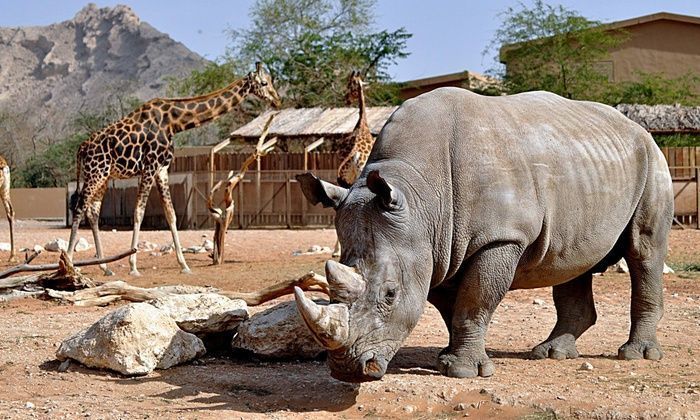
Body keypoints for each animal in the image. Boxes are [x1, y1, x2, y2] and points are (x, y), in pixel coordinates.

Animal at [68, 60, 280, 274]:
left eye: (271, 81)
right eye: (264, 83)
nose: (277, 101)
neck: (174, 122)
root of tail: (81, 148)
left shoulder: (162, 169)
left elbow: (171, 214)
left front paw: (184, 265)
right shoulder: (150, 166)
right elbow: (139, 212)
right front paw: (133, 266)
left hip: (103, 175)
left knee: (92, 212)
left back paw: (105, 267)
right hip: (95, 173)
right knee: (79, 207)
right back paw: (69, 261)